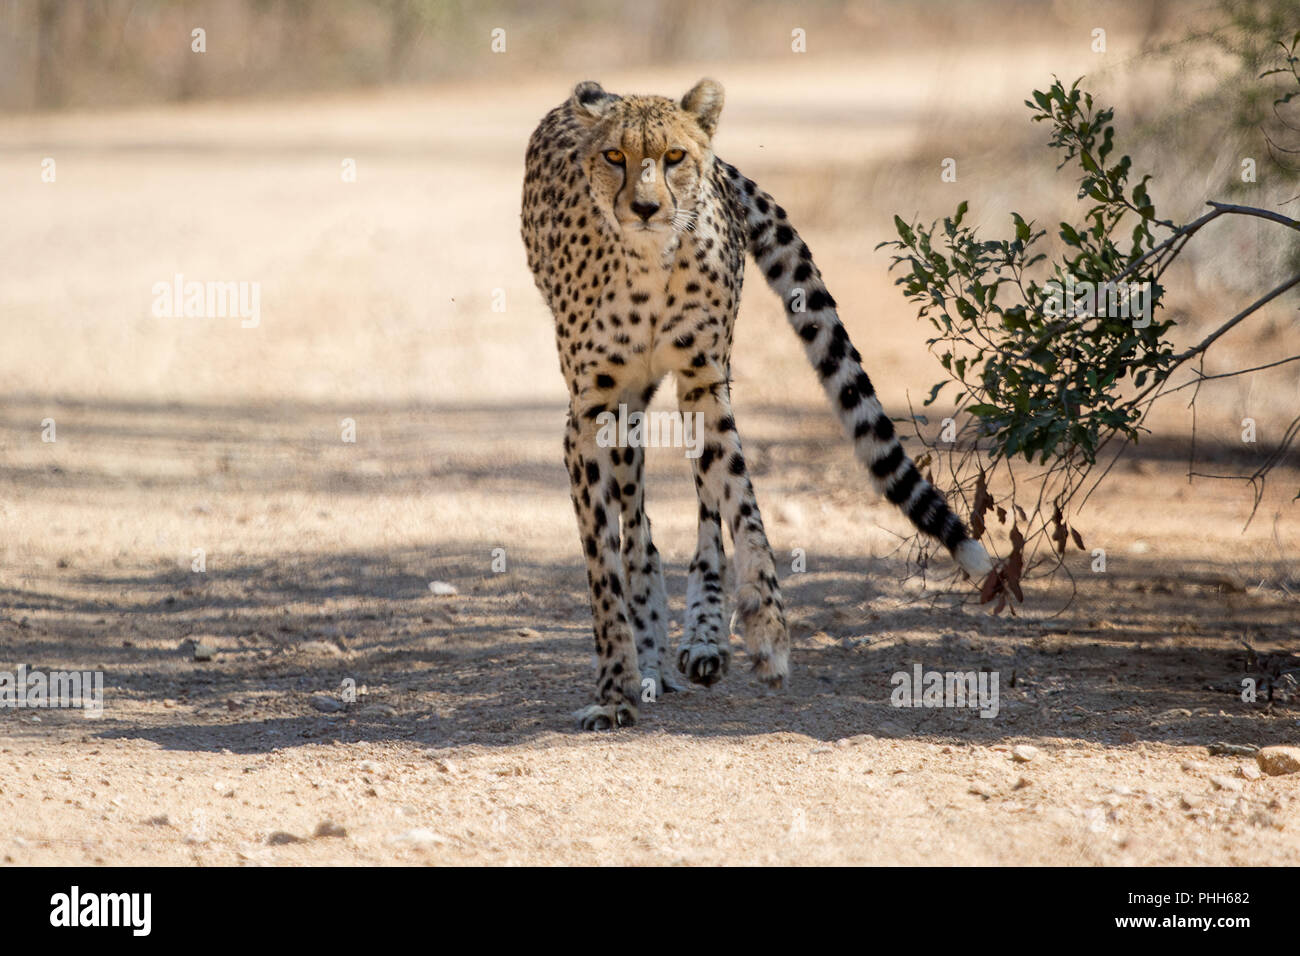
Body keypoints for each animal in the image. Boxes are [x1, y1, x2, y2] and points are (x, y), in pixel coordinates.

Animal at [520, 80, 993, 733]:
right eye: (614, 156)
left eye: (673, 156)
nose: (645, 207)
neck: (648, 264)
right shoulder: (589, 414)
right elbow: (603, 568)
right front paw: (616, 689)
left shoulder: (704, 383)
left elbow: (742, 507)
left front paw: (767, 631)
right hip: (628, 408)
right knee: (638, 528)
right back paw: (654, 655)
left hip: (695, 386)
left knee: (701, 505)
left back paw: (702, 637)